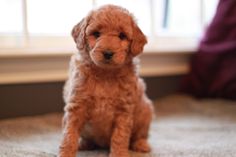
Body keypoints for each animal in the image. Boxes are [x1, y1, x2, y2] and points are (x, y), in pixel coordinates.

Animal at [59, 4, 153, 157]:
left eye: (122, 36)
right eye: (96, 34)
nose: (108, 53)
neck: (105, 74)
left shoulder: (124, 110)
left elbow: (120, 137)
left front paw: (119, 154)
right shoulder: (76, 106)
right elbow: (69, 135)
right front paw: (66, 153)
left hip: (145, 111)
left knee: (140, 134)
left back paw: (141, 144)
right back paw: (84, 144)